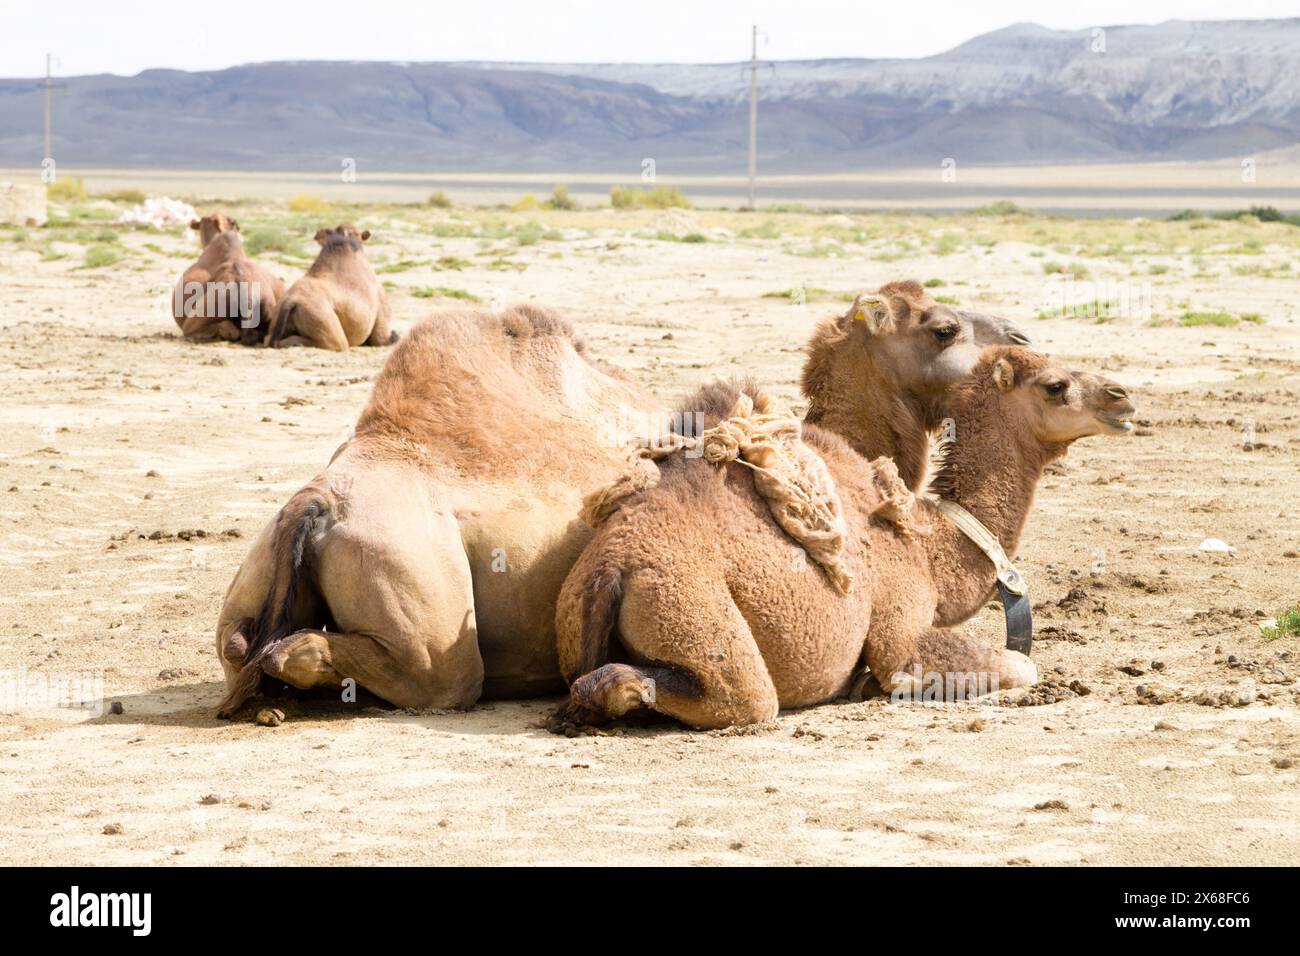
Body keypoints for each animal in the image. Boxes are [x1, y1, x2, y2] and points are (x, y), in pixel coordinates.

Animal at [269, 223, 395, 351]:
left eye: (328, 231)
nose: (318, 233)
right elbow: (384, 339)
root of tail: (290, 302)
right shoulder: (382, 323)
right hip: (323, 319)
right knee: (335, 343)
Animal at [553, 348, 1133, 728]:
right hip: (692, 607)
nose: (1123, 398)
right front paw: (895, 684)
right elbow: (1021, 664)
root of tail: (610, 570)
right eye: (1055, 385)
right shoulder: (900, 623)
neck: (928, 545)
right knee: (739, 696)